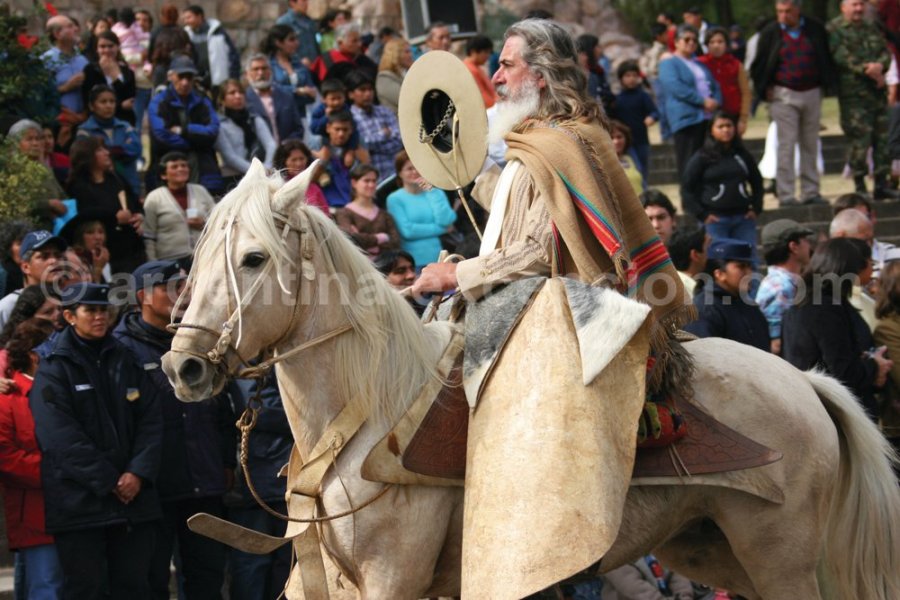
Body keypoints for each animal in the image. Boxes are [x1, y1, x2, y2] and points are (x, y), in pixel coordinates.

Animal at [163, 162, 900, 596]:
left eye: (254, 258)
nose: (183, 366)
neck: (365, 419)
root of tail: (806, 384)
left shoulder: (390, 579)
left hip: (780, 556)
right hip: (717, 550)